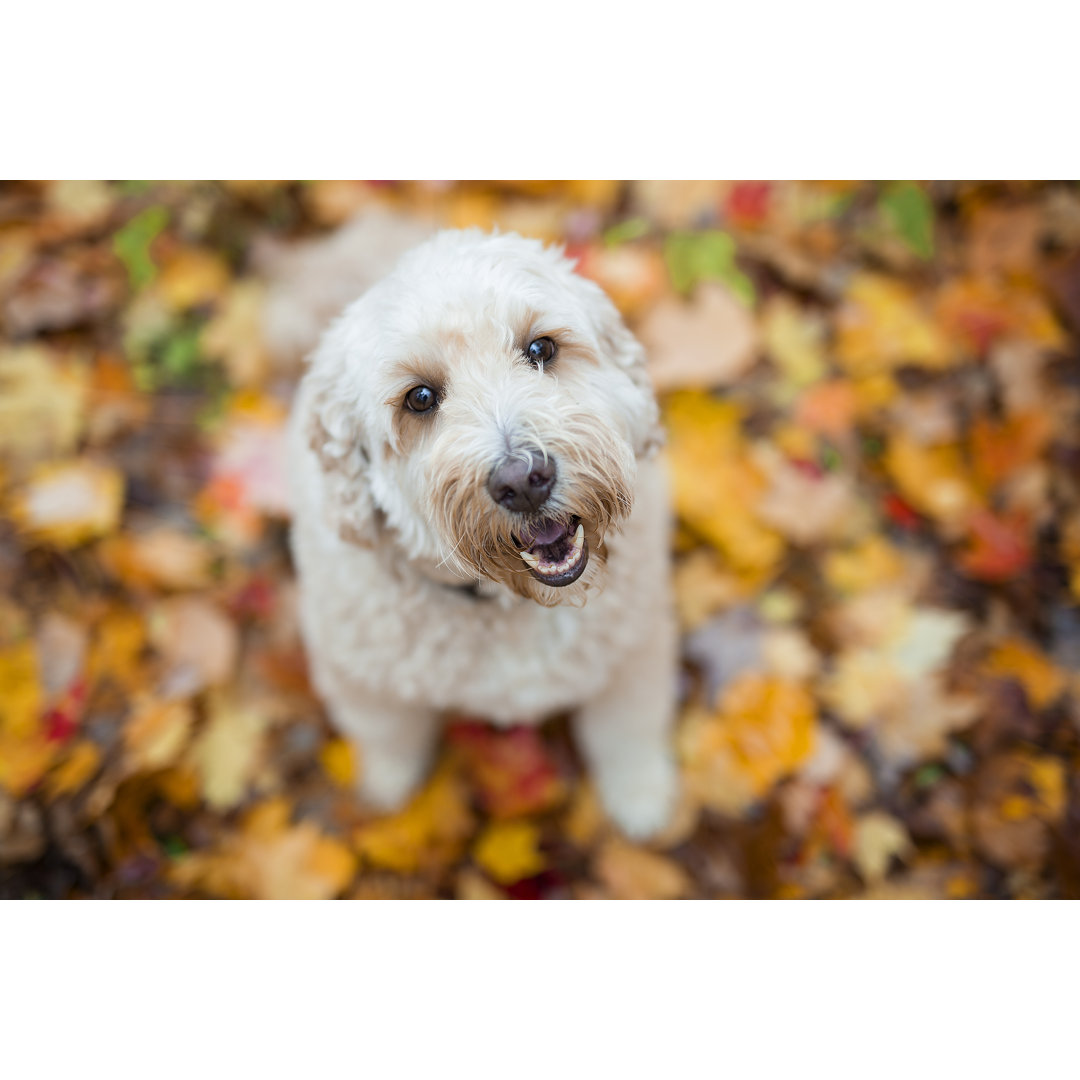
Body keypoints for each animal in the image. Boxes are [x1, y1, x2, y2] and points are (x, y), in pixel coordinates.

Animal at [287, 225, 673, 833]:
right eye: (420, 398)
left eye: (541, 348)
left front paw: (641, 799)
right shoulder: (360, 676)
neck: (510, 606)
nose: (524, 480)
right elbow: (388, 735)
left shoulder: (636, 651)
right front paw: (388, 788)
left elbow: (626, 731)